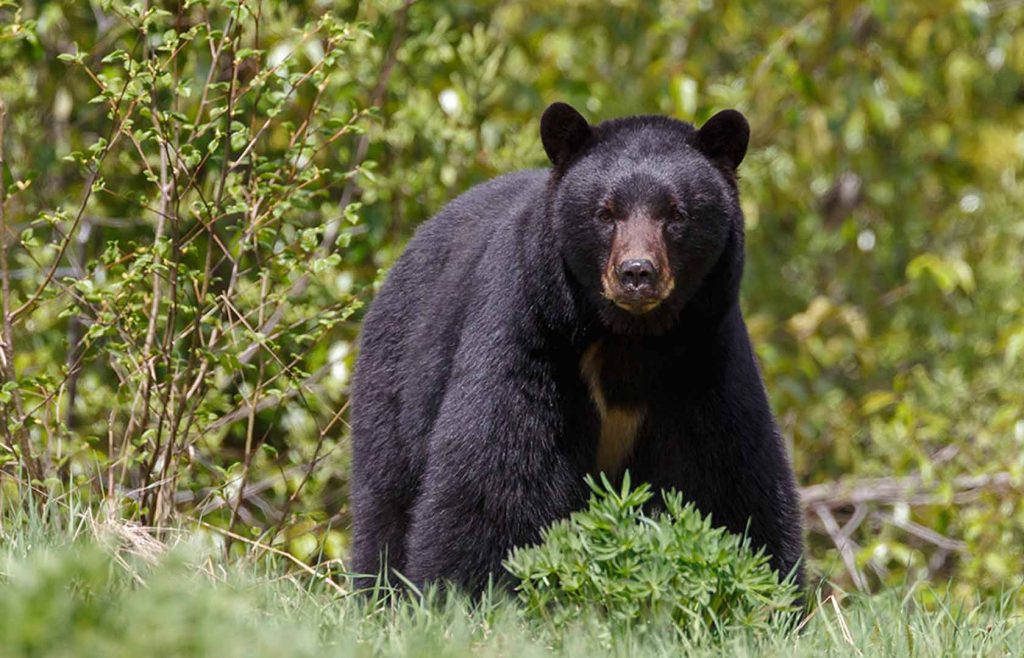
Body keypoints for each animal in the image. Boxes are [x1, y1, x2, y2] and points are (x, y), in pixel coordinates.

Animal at [349, 102, 805, 594]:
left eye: (676, 213)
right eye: (605, 213)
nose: (637, 273)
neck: (629, 338)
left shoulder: (704, 357)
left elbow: (731, 479)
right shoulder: (530, 332)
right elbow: (496, 472)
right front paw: (464, 591)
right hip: (397, 378)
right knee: (386, 499)